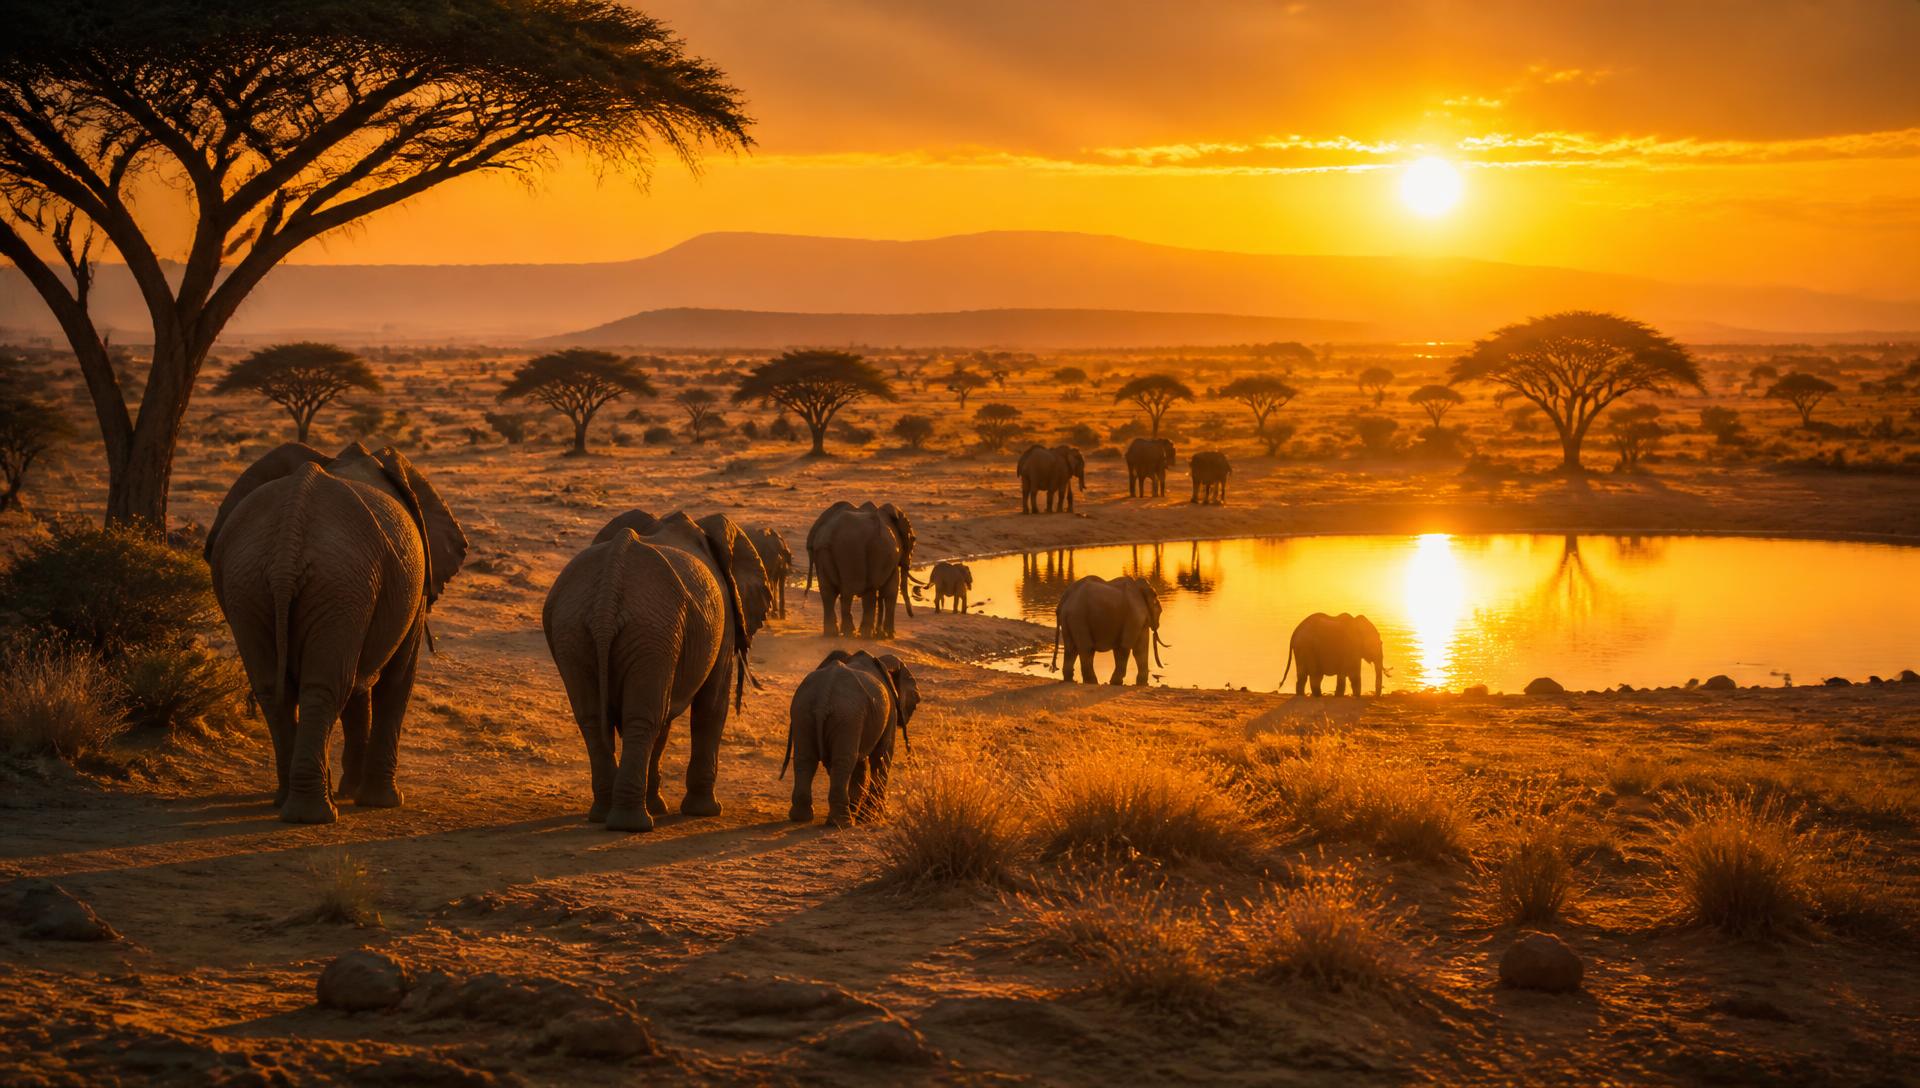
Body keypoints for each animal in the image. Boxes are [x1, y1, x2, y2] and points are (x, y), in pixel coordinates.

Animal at [206, 441, 468, 824]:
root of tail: (289, 538)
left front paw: (352, 792)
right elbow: (397, 679)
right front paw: (384, 802)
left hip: (253, 582)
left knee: (276, 690)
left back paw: (290, 803)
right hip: (338, 582)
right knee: (329, 686)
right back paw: (315, 814)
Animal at [549, 510, 769, 831]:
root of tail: (607, 591)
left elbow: (664, 718)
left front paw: (660, 806)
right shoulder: (723, 622)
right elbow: (712, 707)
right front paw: (706, 811)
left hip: (578, 628)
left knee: (597, 720)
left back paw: (604, 816)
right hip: (648, 629)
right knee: (644, 719)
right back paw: (632, 825)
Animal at [782, 649, 920, 827]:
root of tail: (824, 694)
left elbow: (861, 765)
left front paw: (861, 814)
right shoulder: (889, 713)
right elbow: (882, 757)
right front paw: (870, 818)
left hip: (803, 710)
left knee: (806, 759)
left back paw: (802, 817)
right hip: (847, 715)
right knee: (844, 761)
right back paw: (841, 822)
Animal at [804, 501, 917, 638]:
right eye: (913, 539)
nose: (912, 615)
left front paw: (882, 634)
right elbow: (891, 591)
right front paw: (889, 635)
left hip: (823, 551)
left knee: (828, 592)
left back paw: (834, 633)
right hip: (854, 550)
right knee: (859, 591)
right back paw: (859, 634)